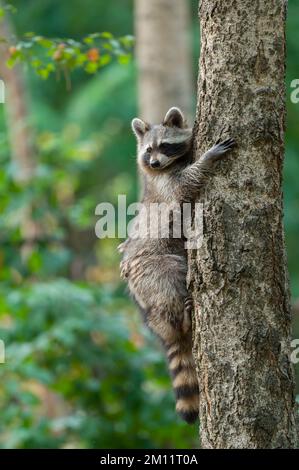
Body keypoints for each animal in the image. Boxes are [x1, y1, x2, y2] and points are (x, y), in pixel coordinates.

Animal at [118, 108, 236, 424]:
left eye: (164, 146)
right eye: (148, 150)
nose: (154, 162)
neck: (167, 166)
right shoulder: (165, 186)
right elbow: (186, 183)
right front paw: (207, 158)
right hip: (153, 269)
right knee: (170, 282)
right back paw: (180, 320)